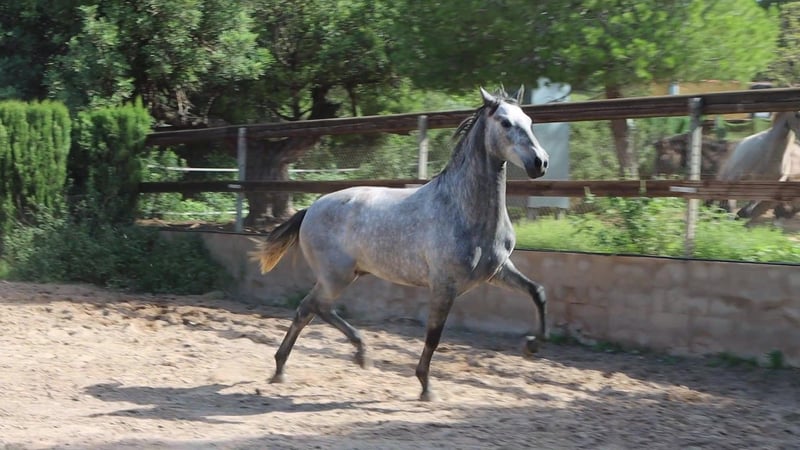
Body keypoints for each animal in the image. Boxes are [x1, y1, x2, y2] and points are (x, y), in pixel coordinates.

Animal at [251, 87, 550, 401]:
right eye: (505, 122)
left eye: (529, 121)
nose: (540, 162)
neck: (461, 208)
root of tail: (310, 208)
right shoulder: (444, 285)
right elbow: (434, 335)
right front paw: (426, 387)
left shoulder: (496, 271)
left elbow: (538, 292)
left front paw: (532, 345)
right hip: (336, 277)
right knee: (313, 307)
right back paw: (344, 356)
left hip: (346, 275)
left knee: (310, 309)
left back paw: (294, 366)